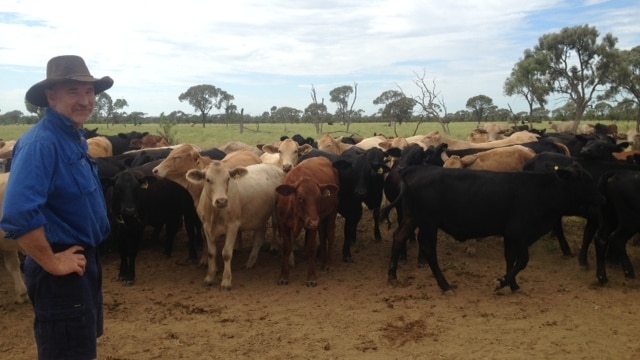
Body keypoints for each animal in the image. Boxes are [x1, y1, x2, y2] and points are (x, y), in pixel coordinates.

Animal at [186, 162, 284, 290]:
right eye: (207, 179)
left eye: (228, 179)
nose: (221, 201)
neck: (214, 214)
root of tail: (274, 166)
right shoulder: (206, 226)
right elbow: (211, 252)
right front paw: (209, 278)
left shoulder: (233, 226)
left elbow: (227, 253)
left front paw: (226, 281)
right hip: (259, 215)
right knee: (259, 237)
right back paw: (250, 262)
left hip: (275, 211)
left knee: (274, 226)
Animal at [276, 158, 340, 286]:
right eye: (300, 198)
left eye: (319, 198)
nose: (314, 221)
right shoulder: (283, 223)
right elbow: (286, 247)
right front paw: (283, 276)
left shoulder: (312, 226)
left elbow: (310, 248)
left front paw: (311, 277)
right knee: (322, 234)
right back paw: (322, 262)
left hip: (332, 211)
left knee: (330, 234)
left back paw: (329, 264)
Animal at [382, 162, 604, 294]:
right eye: (586, 180)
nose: (602, 196)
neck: (540, 190)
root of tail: (414, 169)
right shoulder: (519, 233)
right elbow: (523, 260)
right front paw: (502, 282)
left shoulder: (510, 235)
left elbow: (511, 258)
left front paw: (513, 284)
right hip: (429, 223)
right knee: (428, 249)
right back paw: (445, 285)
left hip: (411, 218)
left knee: (398, 238)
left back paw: (393, 276)